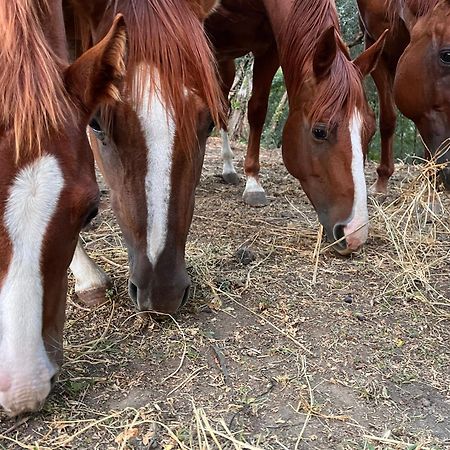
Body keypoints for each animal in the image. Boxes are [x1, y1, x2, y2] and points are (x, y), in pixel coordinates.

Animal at [206, 0, 388, 255]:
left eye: (370, 132)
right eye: (319, 132)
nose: (354, 235)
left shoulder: (269, 47)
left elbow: (257, 109)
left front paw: (253, 182)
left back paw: (229, 169)